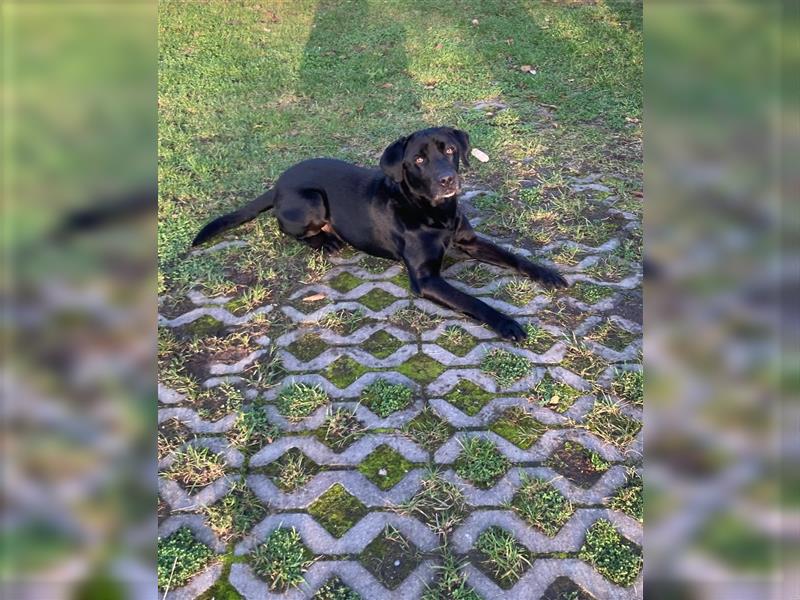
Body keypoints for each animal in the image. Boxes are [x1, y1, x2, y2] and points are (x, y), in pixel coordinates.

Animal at [192, 126, 568, 340]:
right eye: (418, 160)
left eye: (449, 150)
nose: (448, 179)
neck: (434, 213)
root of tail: (277, 186)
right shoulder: (426, 278)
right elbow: (472, 300)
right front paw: (506, 323)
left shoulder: (469, 241)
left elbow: (514, 256)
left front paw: (548, 274)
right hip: (312, 201)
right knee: (287, 229)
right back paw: (327, 240)